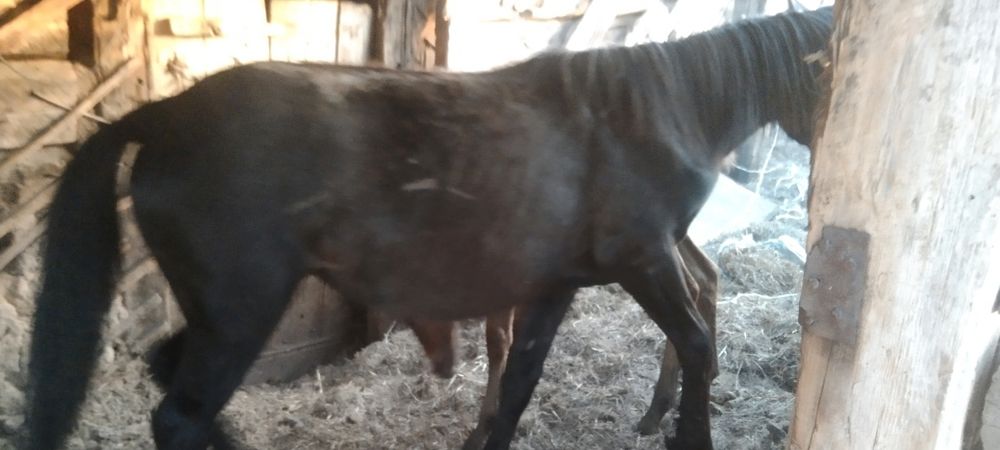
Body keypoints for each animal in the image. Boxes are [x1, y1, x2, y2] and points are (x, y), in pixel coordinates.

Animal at [25, 6, 833, 450]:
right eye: (830, 71)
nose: (821, 182)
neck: (644, 115)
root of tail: (165, 117)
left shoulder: (557, 283)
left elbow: (520, 380)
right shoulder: (645, 260)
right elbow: (695, 343)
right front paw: (689, 433)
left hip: (218, 314)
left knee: (170, 378)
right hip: (239, 316)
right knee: (179, 418)